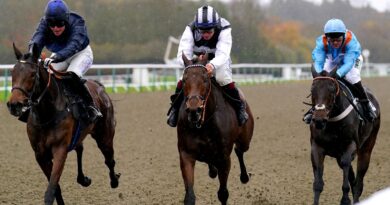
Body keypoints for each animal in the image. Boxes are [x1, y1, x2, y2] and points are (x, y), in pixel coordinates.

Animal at [6, 43, 120, 205]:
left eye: (33, 74)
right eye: (13, 72)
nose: (14, 105)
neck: (47, 114)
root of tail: (100, 87)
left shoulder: (60, 149)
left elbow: (51, 189)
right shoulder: (40, 154)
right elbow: (55, 187)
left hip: (105, 135)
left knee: (109, 159)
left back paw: (114, 180)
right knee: (80, 148)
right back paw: (83, 179)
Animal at [177, 53, 256, 204]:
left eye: (205, 79)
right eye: (184, 80)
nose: (194, 110)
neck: (203, 124)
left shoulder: (224, 158)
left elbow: (223, 193)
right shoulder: (186, 154)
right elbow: (189, 196)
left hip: (245, 139)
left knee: (239, 150)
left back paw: (244, 176)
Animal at [308, 66, 380, 204]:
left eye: (331, 90)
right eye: (312, 89)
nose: (319, 119)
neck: (332, 121)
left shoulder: (350, 145)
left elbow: (346, 168)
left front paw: (345, 199)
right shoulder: (317, 147)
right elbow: (318, 184)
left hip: (367, 147)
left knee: (359, 182)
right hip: (337, 154)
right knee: (353, 179)